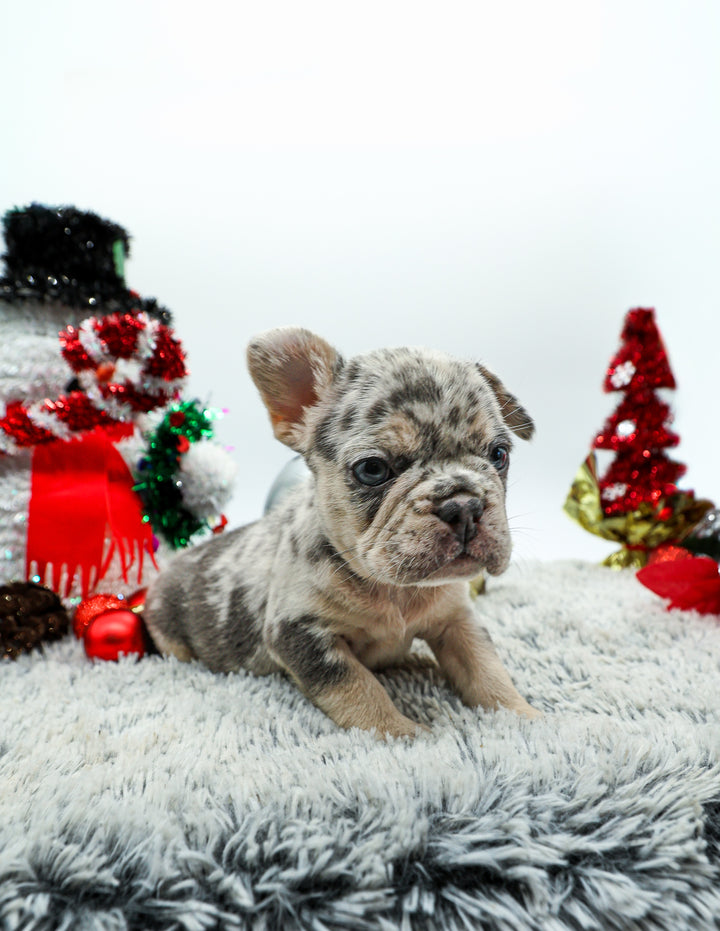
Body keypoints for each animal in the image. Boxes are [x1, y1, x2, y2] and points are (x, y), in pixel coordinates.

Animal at [144, 327, 539, 737]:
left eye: (499, 455)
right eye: (372, 469)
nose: (463, 506)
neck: (395, 591)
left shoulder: (457, 621)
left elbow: (486, 668)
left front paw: (522, 715)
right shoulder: (303, 634)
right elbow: (359, 689)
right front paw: (403, 733)